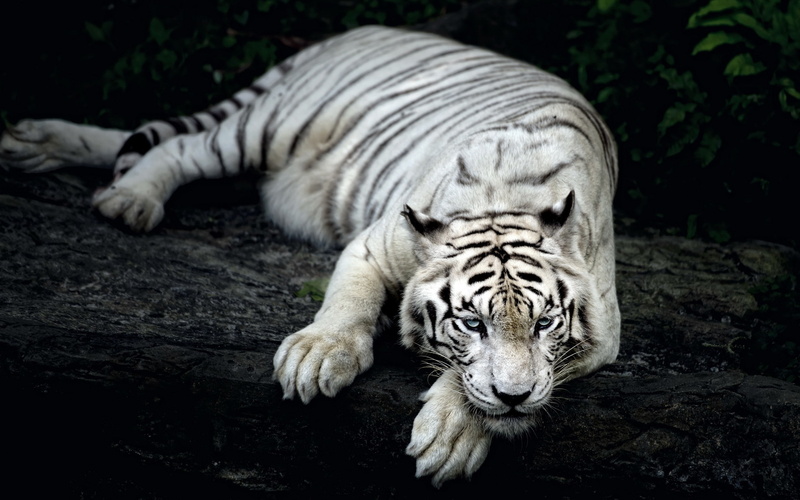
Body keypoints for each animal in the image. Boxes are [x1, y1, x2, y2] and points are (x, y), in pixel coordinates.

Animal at [0, 25, 620, 486]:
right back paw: (125, 197)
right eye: (472, 324)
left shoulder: (604, 329)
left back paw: (31, 145)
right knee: (174, 147)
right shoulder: (372, 244)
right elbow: (346, 305)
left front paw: (454, 433)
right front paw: (316, 357)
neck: (505, 200)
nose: (515, 398)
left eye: (544, 324)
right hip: (270, 126)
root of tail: (359, 30)